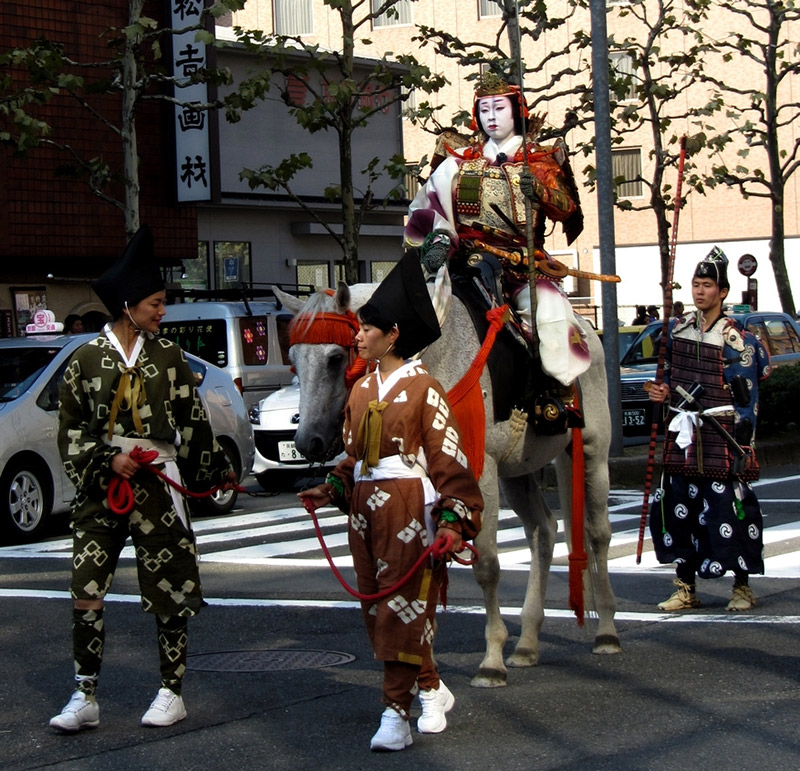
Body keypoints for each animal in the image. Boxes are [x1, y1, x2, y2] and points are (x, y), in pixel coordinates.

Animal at [278, 282, 620, 688]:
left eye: (334, 358)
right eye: (294, 360)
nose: (306, 442)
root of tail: (587, 333)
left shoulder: (478, 469)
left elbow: (486, 564)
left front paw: (491, 661)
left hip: (592, 447)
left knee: (597, 533)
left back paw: (607, 632)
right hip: (517, 469)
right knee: (543, 531)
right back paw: (527, 643)